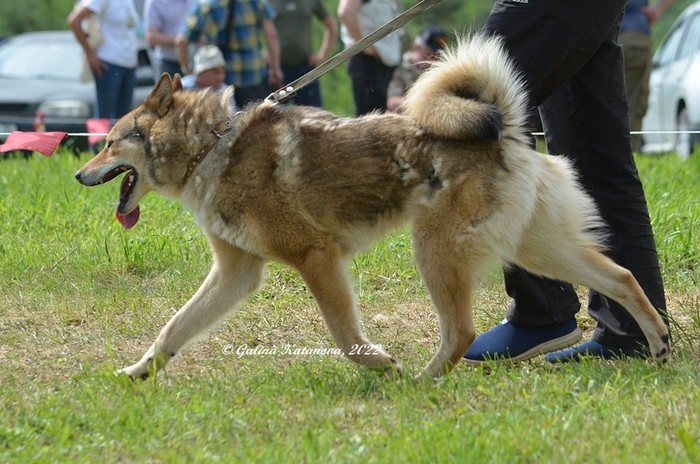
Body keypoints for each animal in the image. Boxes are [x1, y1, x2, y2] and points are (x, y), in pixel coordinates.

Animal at [75, 35, 670, 380]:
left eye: (111, 143)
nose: (79, 175)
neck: (211, 145)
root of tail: (504, 132)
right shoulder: (235, 273)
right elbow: (173, 328)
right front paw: (139, 371)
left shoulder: (317, 259)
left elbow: (344, 336)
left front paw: (378, 363)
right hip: (536, 248)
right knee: (622, 278)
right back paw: (658, 343)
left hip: (436, 252)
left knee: (461, 332)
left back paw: (420, 381)